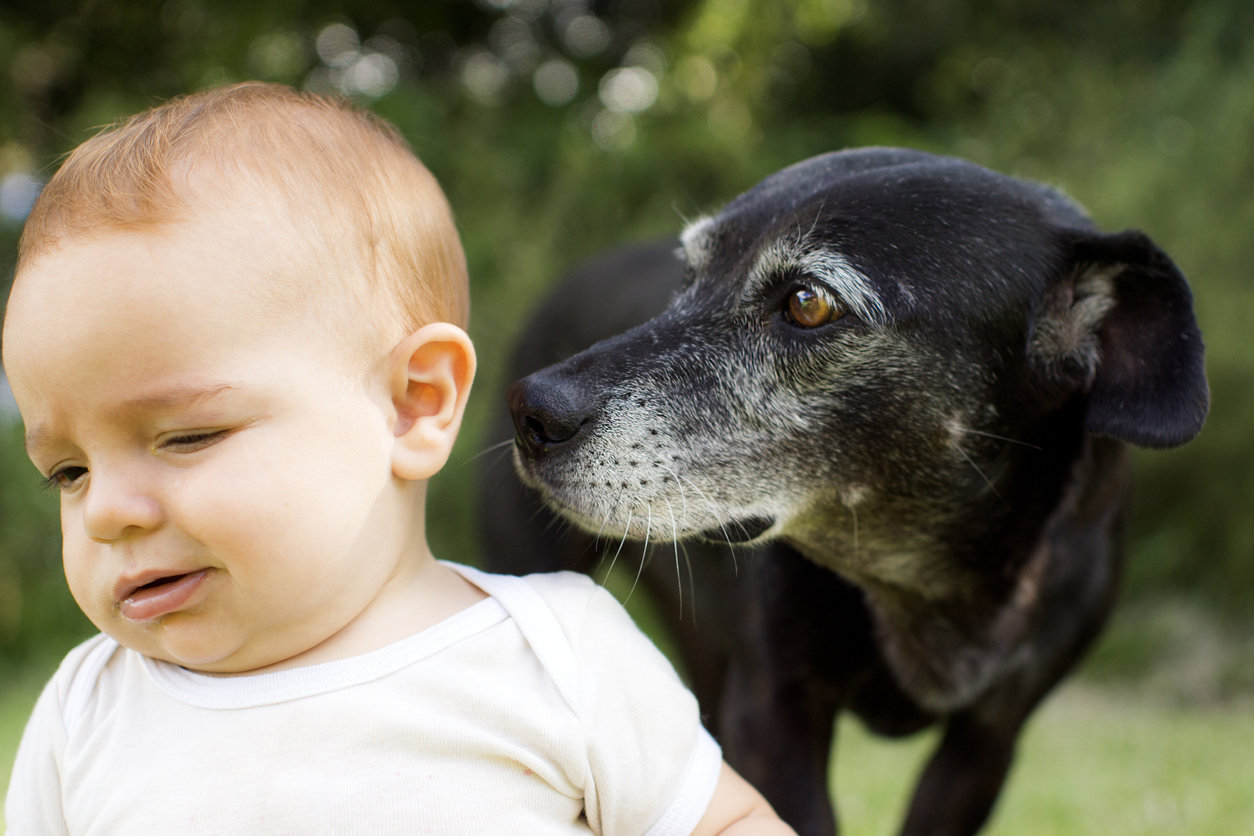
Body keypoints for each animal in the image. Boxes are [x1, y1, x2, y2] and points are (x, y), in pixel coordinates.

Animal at [476, 150, 1203, 836]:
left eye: (809, 303)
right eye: (688, 278)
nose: (531, 412)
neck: (920, 581)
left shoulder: (986, 744)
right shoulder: (776, 714)